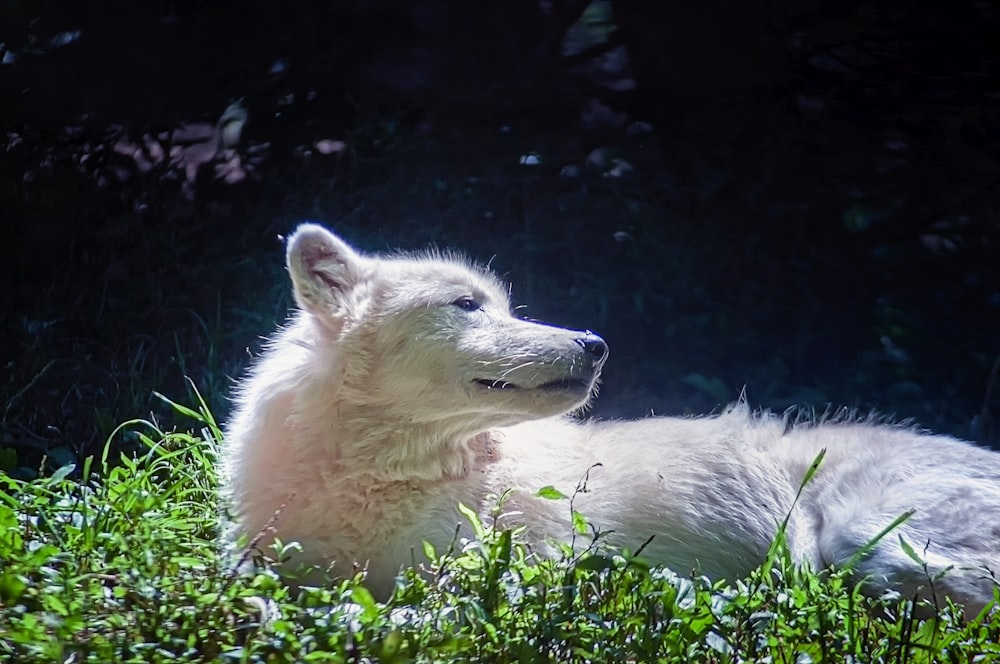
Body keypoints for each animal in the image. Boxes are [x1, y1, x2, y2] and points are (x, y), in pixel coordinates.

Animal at [223, 224, 1000, 616]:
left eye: (503, 304)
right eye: (467, 306)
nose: (595, 344)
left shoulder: (513, 574)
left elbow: (398, 612)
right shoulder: (262, 559)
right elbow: (261, 591)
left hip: (868, 545)